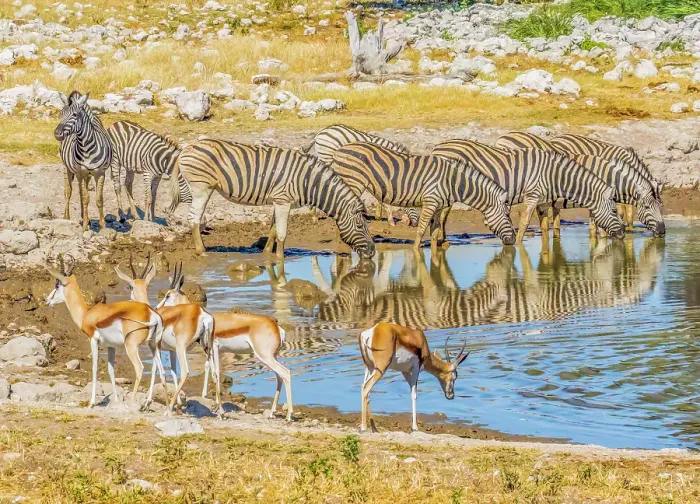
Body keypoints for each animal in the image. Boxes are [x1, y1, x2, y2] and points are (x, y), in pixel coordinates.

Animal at [54, 91, 113, 230]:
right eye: (61, 114)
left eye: (75, 115)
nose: (57, 133)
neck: (87, 148)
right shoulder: (80, 173)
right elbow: (86, 198)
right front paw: (85, 226)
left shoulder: (100, 173)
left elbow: (98, 199)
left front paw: (103, 225)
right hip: (67, 168)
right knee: (68, 191)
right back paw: (67, 217)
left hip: (88, 175)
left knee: (81, 192)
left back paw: (85, 217)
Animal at [169, 139, 376, 259]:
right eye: (360, 226)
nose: (373, 252)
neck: (308, 182)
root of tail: (186, 149)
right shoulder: (283, 200)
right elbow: (282, 233)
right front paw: (279, 259)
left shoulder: (279, 201)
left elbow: (274, 229)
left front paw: (266, 253)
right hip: (201, 187)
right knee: (194, 218)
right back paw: (201, 251)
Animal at [331, 142, 516, 250]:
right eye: (508, 215)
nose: (514, 240)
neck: (452, 182)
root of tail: (340, 149)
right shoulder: (430, 201)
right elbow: (421, 230)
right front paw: (416, 251)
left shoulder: (439, 206)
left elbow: (434, 232)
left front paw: (435, 252)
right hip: (353, 182)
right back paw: (343, 241)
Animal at [431, 140, 625, 244]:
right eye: (615, 210)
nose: (623, 234)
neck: (554, 174)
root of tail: (437, 148)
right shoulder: (533, 194)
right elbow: (524, 221)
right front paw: (518, 243)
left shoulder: (543, 200)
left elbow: (545, 225)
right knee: (441, 215)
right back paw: (441, 240)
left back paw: (442, 240)